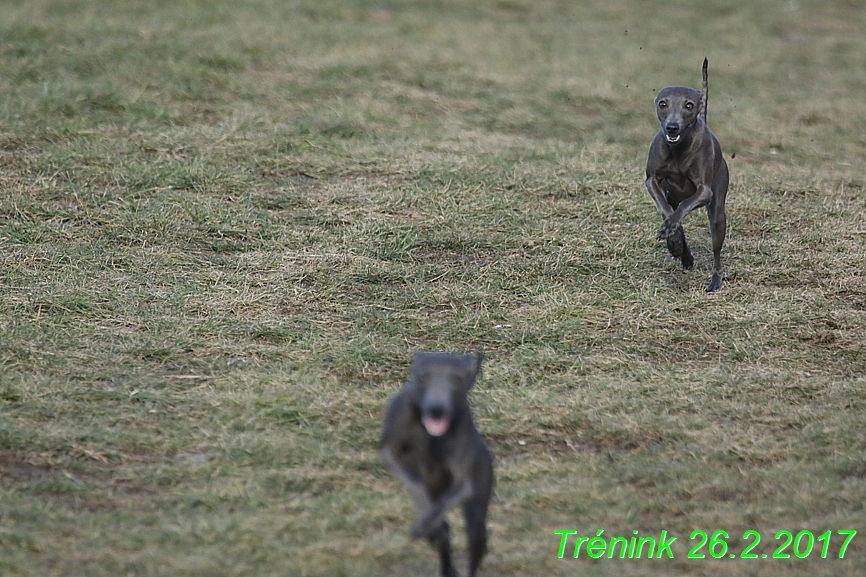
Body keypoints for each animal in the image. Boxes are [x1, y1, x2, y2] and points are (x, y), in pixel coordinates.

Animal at [380, 352, 492, 576]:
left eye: (457, 379)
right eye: (423, 377)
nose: (436, 408)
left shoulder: (465, 482)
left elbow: (445, 503)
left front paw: (428, 525)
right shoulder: (391, 450)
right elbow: (417, 487)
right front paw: (429, 525)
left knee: (476, 540)